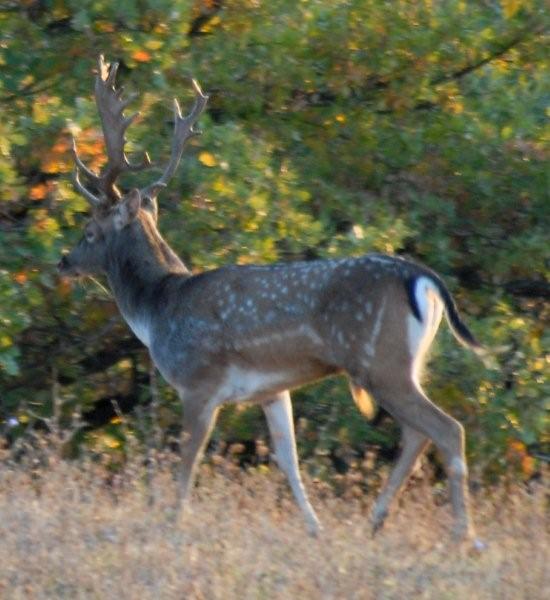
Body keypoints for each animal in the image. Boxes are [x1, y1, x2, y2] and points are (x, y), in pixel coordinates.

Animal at [59, 56, 488, 548]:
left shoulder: (200, 382)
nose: (63, 261)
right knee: (418, 434)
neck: (159, 309)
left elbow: (187, 461)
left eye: (90, 231)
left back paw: (463, 535)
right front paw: (315, 528)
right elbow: (288, 459)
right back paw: (377, 520)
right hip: (402, 365)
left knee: (446, 429)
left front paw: (171, 525)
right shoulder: (272, 389)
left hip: (381, 362)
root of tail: (424, 278)